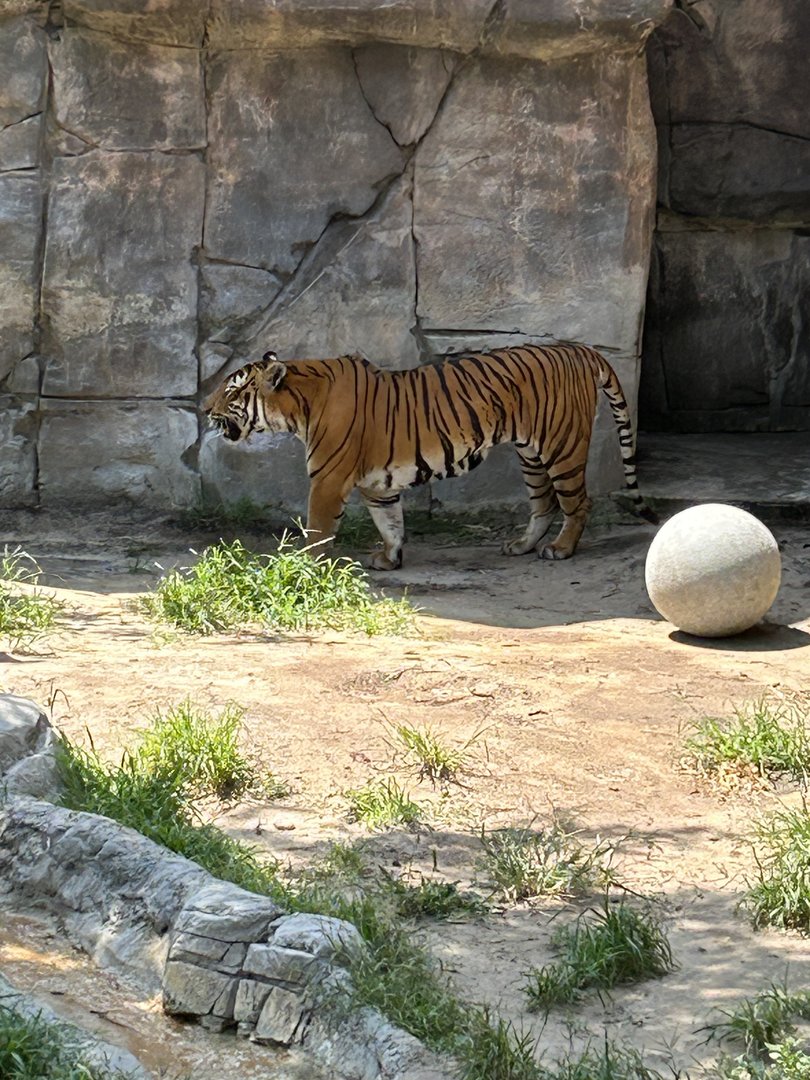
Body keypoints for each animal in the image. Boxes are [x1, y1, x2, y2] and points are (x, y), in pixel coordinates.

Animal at [203, 342, 657, 570]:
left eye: (230, 390)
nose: (204, 408)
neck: (299, 407)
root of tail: (580, 348)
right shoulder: (378, 484)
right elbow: (391, 522)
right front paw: (390, 558)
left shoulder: (327, 480)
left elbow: (317, 530)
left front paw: (303, 567)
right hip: (530, 452)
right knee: (543, 504)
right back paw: (522, 546)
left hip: (562, 447)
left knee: (578, 502)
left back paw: (561, 549)